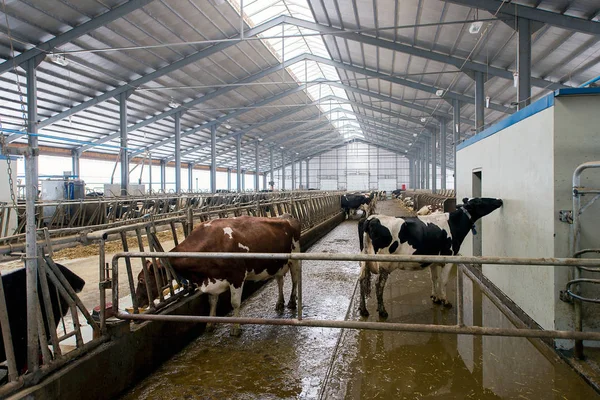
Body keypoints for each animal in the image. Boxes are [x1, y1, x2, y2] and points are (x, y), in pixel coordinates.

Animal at [138, 214, 302, 336]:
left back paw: (292, 302)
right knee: (280, 281)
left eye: (141, 280)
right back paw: (279, 302)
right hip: (278, 264)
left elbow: (235, 303)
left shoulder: (237, 276)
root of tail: (287, 216)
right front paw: (210, 324)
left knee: (295, 281)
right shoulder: (213, 278)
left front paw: (235, 328)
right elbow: (212, 301)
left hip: (294, 259)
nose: (139, 303)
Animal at [356, 198, 502, 318]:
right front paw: (445, 301)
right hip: (385, 263)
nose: (499, 200)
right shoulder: (449, 257)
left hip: (364, 260)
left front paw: (435, 297)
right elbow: (443, 280)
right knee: (378, 285)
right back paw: (382, 312)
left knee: (362, 280)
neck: (454, 223)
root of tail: (372, 218)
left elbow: (434, 278)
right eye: (479, 201)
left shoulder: (433, 260)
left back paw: (363, 310)